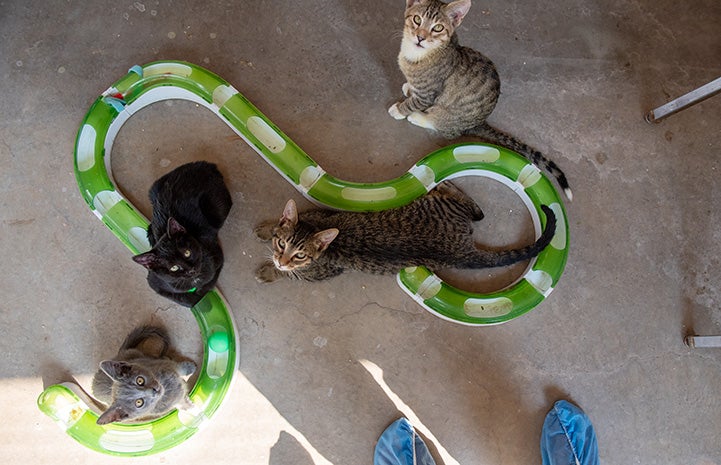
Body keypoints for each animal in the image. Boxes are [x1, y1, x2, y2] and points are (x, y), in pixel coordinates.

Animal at [130, 161, 231, 306]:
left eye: (187, 253)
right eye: (174, 268)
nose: (191, 270)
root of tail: (205, 165)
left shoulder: (216, 257)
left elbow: (207, 285)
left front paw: (201, 291)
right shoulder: (153, 282)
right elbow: (186, 301)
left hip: (216, 211)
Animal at [253, 181, 556, 282]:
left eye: (300, 256)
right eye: (282, 245)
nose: (281, 259)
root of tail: (461, 251)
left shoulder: (323, 273)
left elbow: (290, 276)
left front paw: (269, 272)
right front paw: (267, 229)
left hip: (441, 205)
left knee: (467, 203)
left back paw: (448, 186)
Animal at [388, 0, 572, 198]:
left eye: (437, 28)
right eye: (417, 19)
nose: (420, 37)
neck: (418, 54)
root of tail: (480, 122)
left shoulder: (428, 94)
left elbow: (414, 102)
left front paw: (399, 110)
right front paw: (408, 88)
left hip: (447, 115)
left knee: (448, 129)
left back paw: (419, 117)